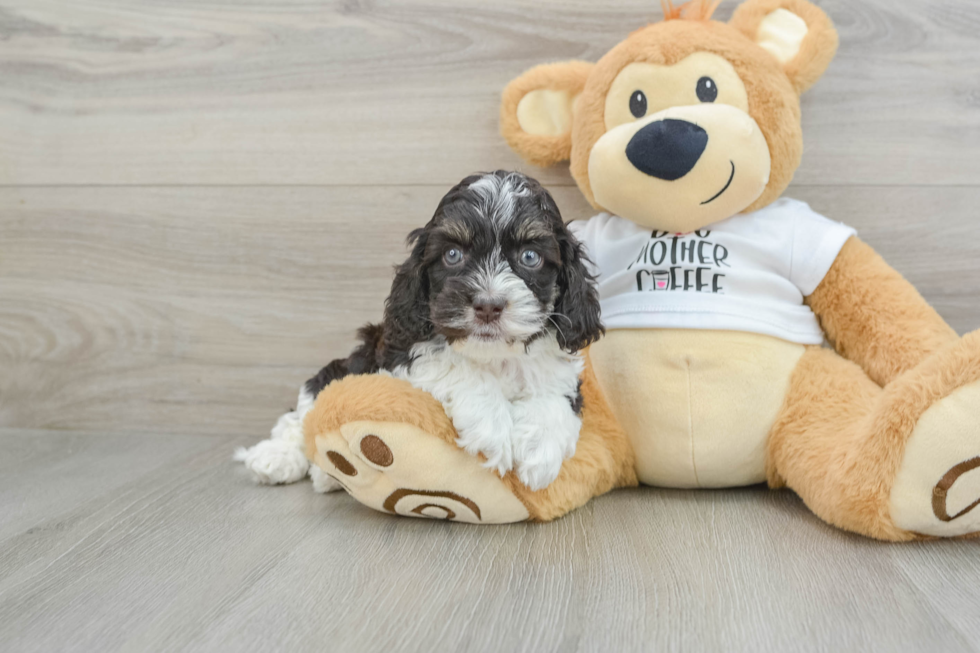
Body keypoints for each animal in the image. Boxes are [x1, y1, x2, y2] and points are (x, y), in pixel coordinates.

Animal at [237, 171, 604, 492]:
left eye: (530, 257)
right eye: (453, 254)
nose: (488, 305)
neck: (494, 355)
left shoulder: (561, 368)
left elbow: (555, 398)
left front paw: (539, 453)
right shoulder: (401, 353)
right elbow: (456, 368)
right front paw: (494, 430)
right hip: (348, 365)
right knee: (303, 412)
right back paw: (275, 459)